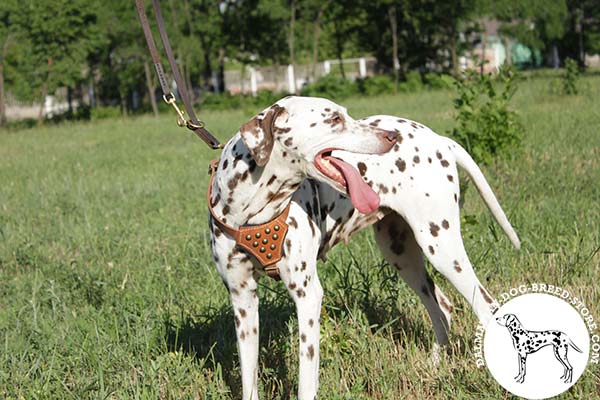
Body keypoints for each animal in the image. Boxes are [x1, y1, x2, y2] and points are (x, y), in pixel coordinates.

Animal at [210, 97, 520, 400]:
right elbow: (249, 378)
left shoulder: (307, 296)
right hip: (401, 254)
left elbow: (306, 379)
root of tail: (439, 139)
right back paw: (434, 365)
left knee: (486, 307)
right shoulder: (243, 301)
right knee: (442, 306)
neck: (251, 212)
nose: (391, 136)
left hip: (442, 248)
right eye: (334, 119)